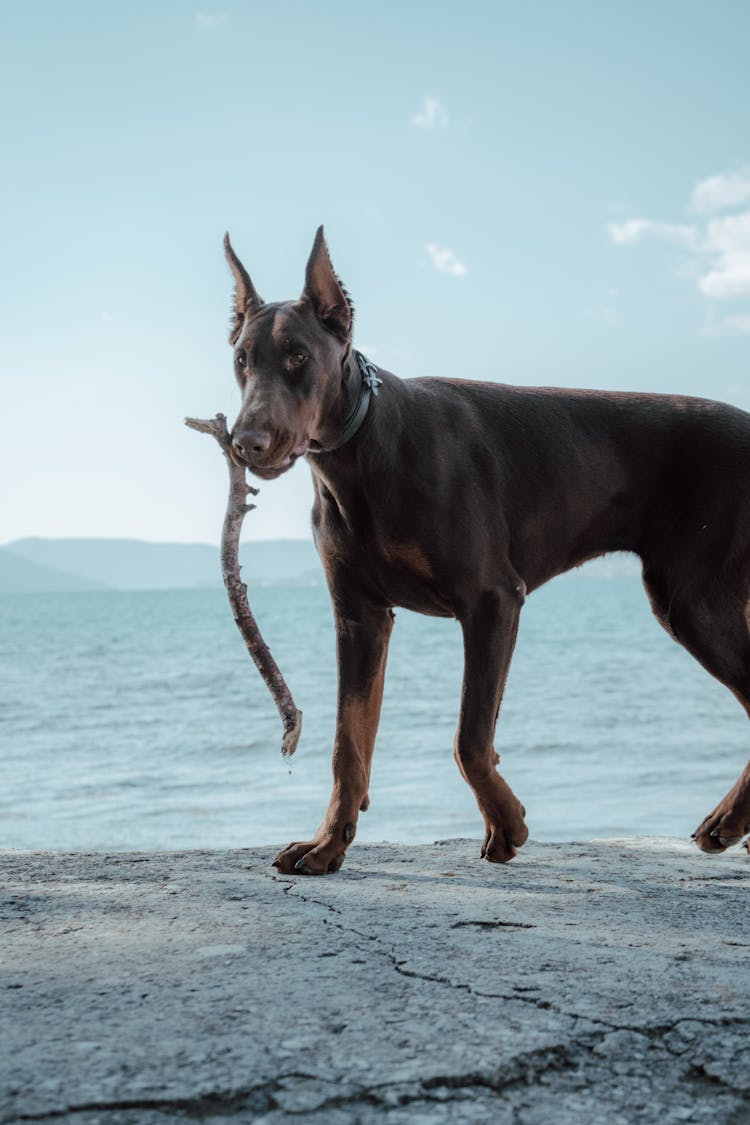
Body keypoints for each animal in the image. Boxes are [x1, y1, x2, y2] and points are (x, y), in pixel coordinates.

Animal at [222, 228, 750, 873]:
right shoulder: (360, 615)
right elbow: (350, 741)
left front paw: (508, 822)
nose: (247, 443)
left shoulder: (493, 600)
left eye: (298, 356)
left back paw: (727, 822)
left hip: (694, 601)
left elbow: (470, 738)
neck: (364, 450)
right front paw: (328, 843)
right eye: (242, 361)